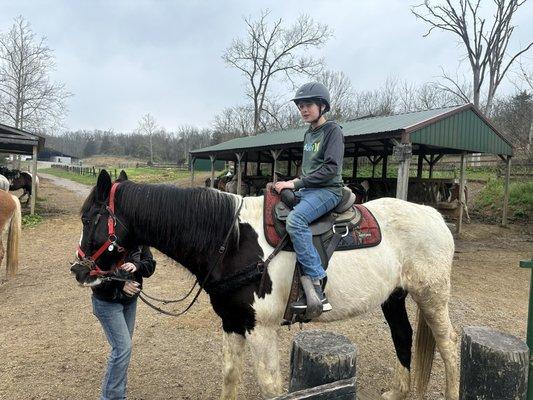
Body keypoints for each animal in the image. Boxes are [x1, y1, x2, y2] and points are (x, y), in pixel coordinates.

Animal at [72, 170, 460, 400]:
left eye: (88, 218)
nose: (78, 269)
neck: (230, 241)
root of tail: (434, 216)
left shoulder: (262, 328)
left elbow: (270, 386)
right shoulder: (233, 322)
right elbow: (230, 376)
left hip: (432, 296)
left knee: (450, 347)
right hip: (394, 296)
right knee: (403, 337)